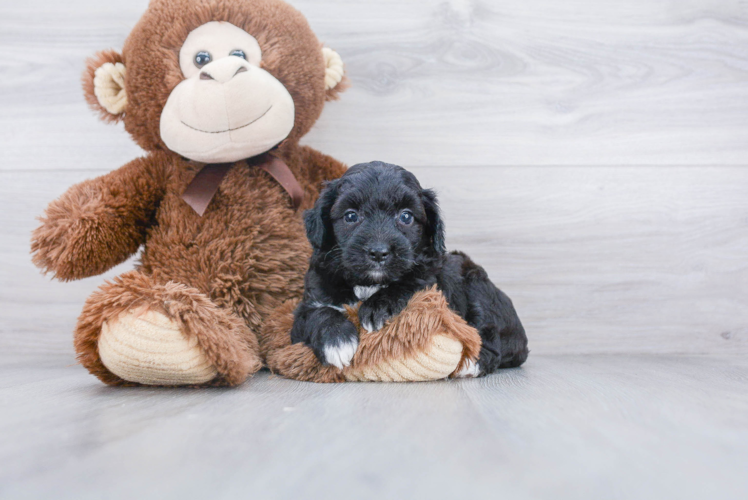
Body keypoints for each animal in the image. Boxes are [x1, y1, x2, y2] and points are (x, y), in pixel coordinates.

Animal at [290, 162, 528, 376]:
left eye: (406, 216)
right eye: (350, 216)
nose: (379, 252)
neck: (368, 282)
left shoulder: (430, 283)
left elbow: (409, 284)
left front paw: (379, 306)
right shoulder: (308, 306)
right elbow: (317, 313)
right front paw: (336, 339)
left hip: (477, 283)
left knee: (489, 334)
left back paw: (471, 364)